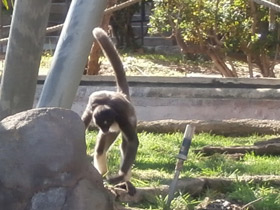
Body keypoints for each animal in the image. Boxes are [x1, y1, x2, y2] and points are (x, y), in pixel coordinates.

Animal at [81, 27, 139, 194]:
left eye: (107, 123)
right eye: (101, 125)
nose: (105, 129)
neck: (107, 105)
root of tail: (122, 95)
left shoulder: (121, 118)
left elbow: (132, 142)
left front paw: (120, 176)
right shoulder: (92, 104)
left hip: (120, 127)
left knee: (125, 145)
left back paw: (124, 181)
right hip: (112, 131)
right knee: (100, 150)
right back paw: (101, 176)